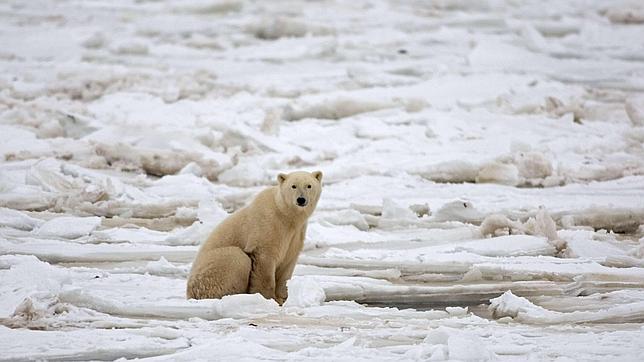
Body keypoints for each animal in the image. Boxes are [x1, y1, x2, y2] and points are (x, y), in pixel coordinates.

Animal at [186, 171, 322, 304]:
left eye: (309, 186)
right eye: (293, 186)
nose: (301, 199)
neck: (285, 215)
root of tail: (189, 293)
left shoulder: (295, 234)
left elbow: (287, 263)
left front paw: (283, 297)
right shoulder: (267, 226)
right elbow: (264, 261)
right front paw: (268, 298)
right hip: (210, 269)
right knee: (237, 257)